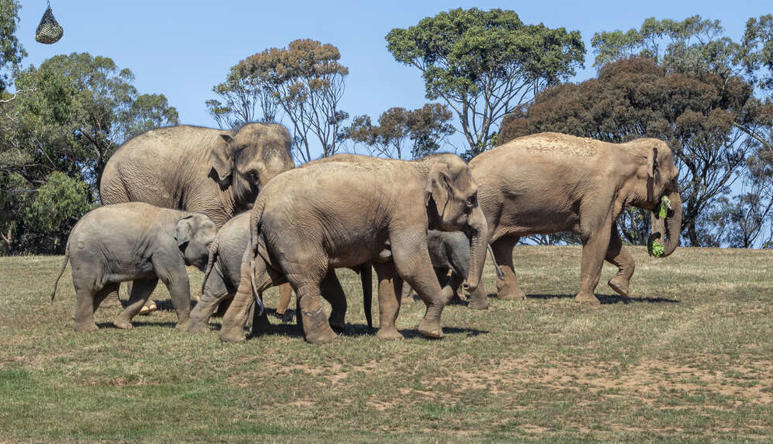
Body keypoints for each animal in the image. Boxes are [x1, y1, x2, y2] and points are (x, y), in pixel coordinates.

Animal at [50, 202, 217, 331]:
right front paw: (186, 327)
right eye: (209, 244)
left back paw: (76, 319)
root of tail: (72, 233)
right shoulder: (165, 248)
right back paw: (88, 329)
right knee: (90, 286)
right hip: (87, 255)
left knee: (104, 287)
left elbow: (145, 286)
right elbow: (175, 279)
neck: (183, 215)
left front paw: (122, 325)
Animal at [99, 122, 294, 313]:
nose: (279, 312)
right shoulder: (207, 186)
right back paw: (131, 307)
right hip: (116, 189)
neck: (232, 136)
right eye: (253, 174)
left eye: (292, 169)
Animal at [186, 211, 374, 334]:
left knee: (216, 292)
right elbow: (328, 284)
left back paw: (199, 330)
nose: (370, 327)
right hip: (236, 258)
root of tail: (218, 238)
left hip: (221, 262)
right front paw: (337, 327)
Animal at [218, 153, 489, 344]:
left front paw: (391, 338)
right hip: (294, 232)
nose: (467, 285)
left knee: (258, 276)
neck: (423, 165)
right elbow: (409, 263)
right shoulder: (406, 212)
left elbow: (390, 271)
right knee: (310, 274)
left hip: (270, 237)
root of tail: (261, 201)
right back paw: (326, 339)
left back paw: (232, 337)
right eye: (472, 200)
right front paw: (433, 333)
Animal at [467, 132, 682, 307]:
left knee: (504, 244)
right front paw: (588, 302)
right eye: (673, 178)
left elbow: (612, 241)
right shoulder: (600, 188)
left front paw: (618, 287)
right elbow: (595, 234)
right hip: (486, 201)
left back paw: (514, 297)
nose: (656, 241)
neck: (625, 149)